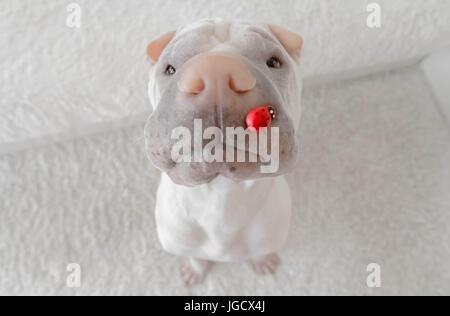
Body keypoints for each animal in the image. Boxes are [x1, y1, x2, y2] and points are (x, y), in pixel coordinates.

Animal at [146, 18, 304, 286]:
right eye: (170, 69)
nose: (216, 71)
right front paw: (195, 270)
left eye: (273, 62)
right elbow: (196, 256)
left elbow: (260, 251)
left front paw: (262, 261)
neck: (223, 196)